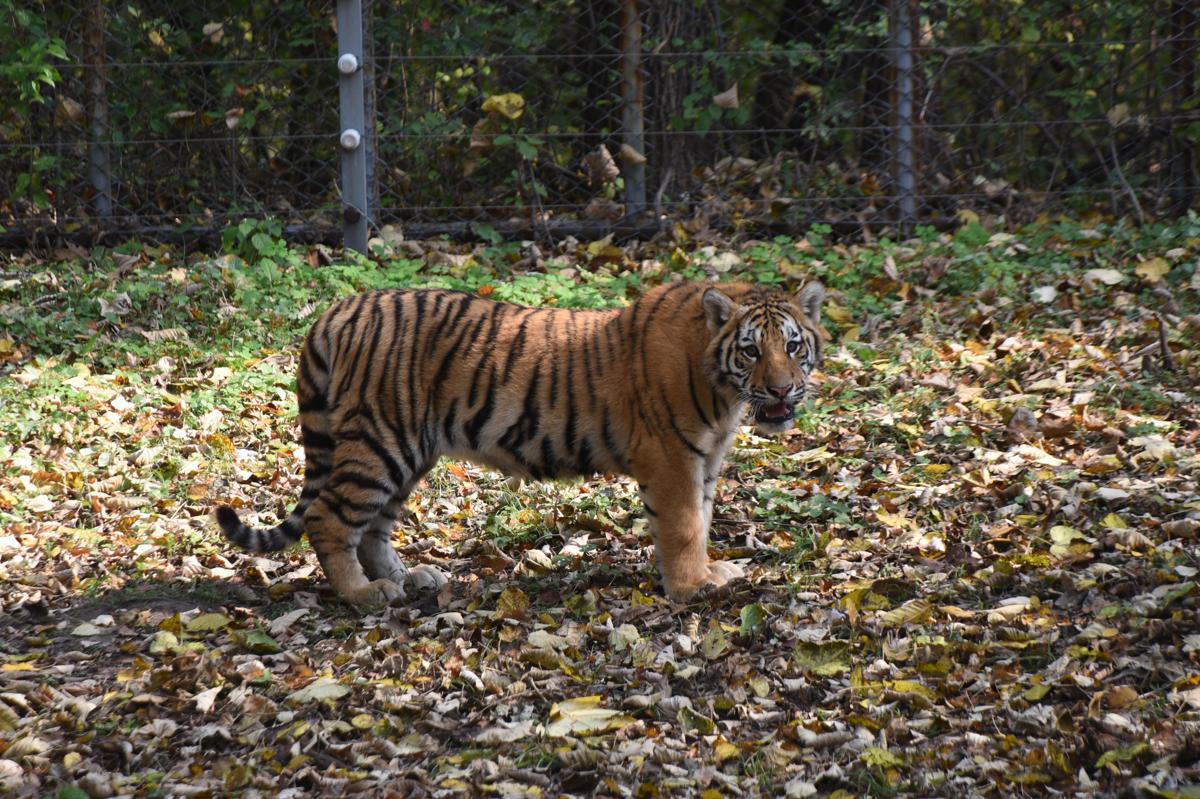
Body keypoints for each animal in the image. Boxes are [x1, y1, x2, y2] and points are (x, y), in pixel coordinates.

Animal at [216, 279, 826, 605]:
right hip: (378, 443)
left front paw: (707, 574)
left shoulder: (705, 457)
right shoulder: (671, 457)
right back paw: (363, 593)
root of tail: (336, 311)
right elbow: (682, 526)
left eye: (794, 346)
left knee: (372, 527)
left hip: (407, 451)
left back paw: (408, 577)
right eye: (751, 350)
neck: (724, 391)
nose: (781, 389)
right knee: (329, 519)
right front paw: (691, 587)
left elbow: (701, 517)